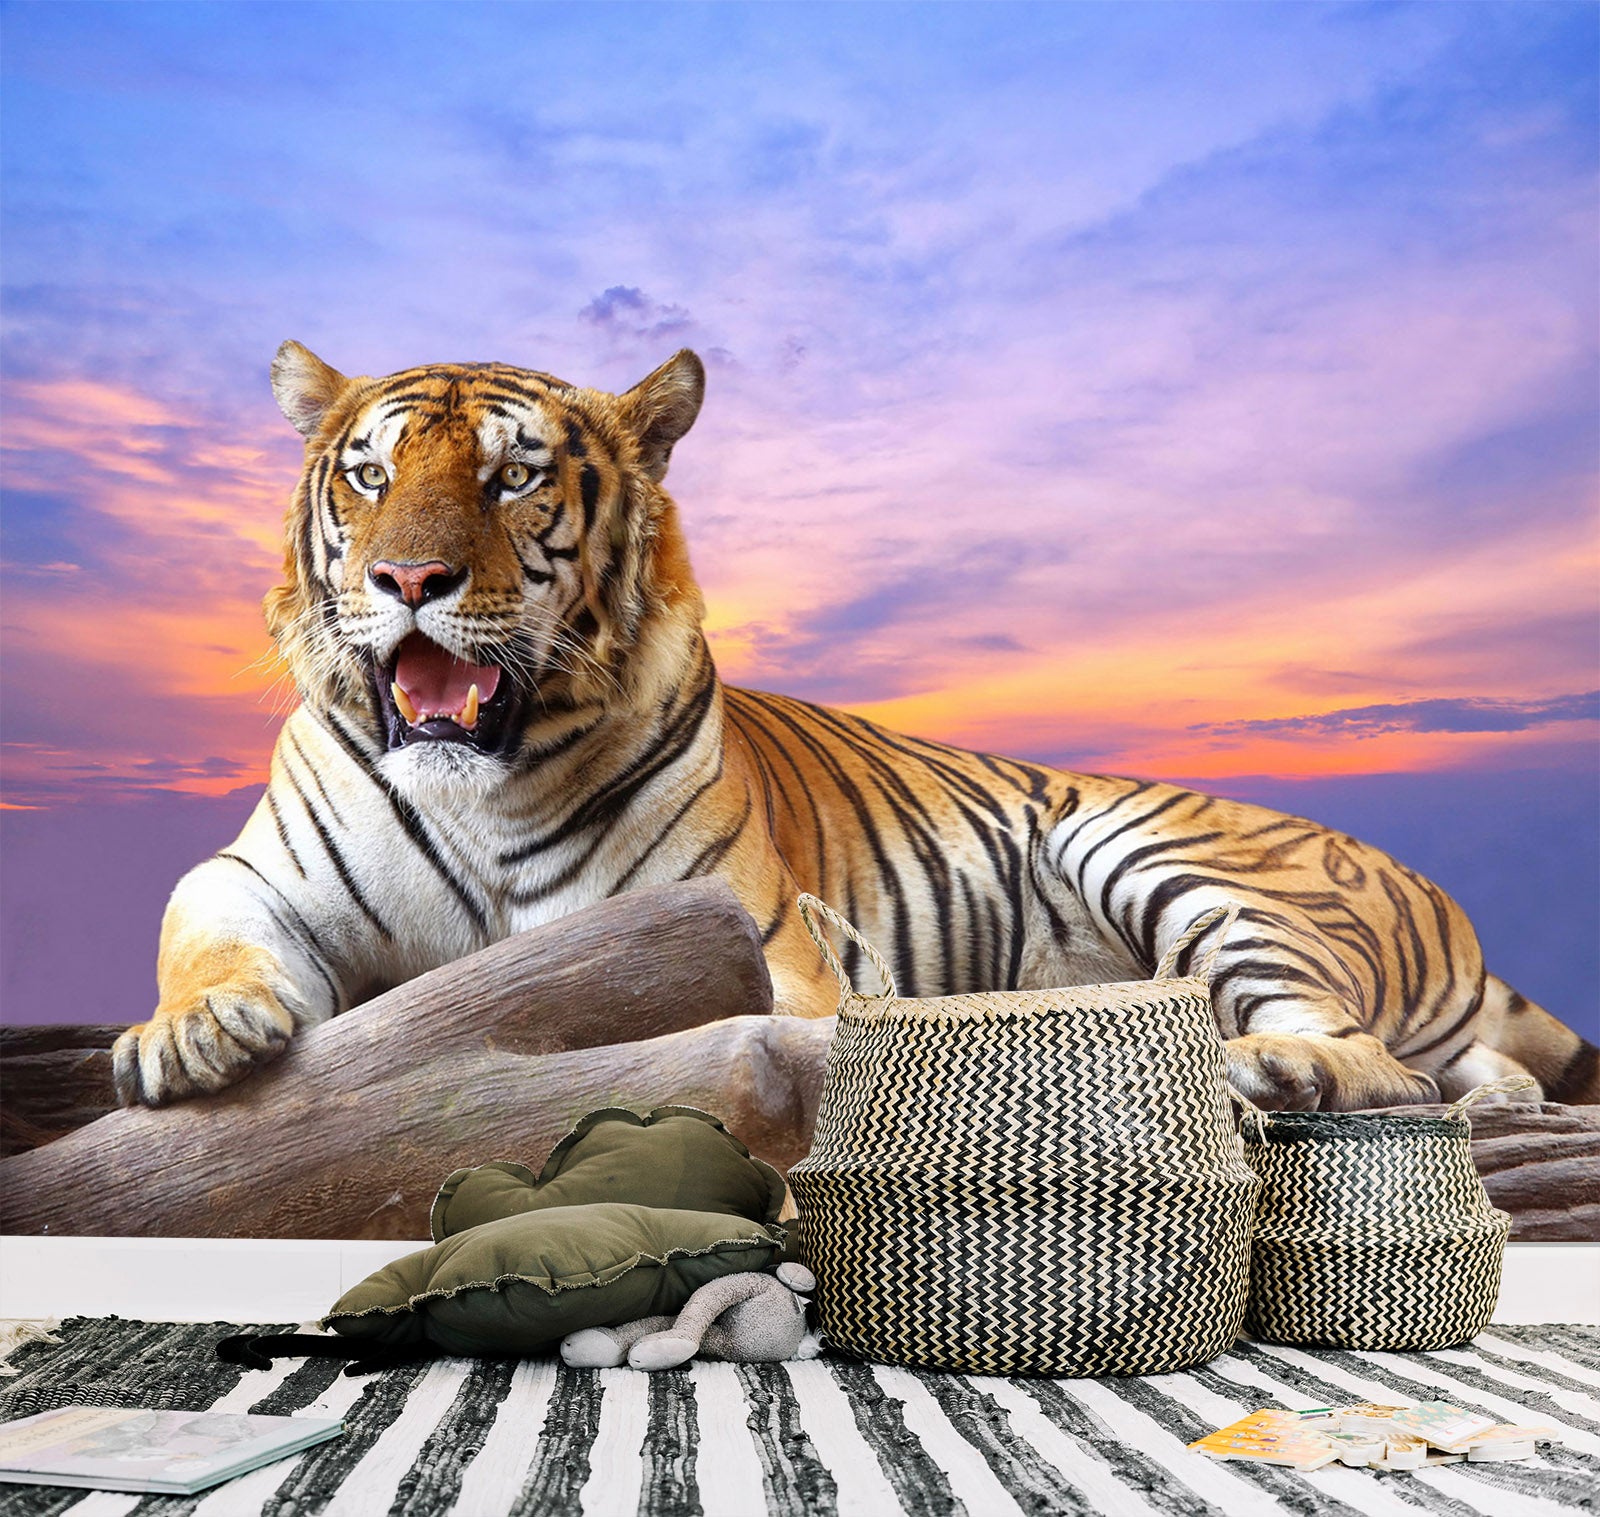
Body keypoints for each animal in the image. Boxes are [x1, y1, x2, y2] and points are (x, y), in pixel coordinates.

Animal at [112, 342, 1600, 1114]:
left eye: (514, 475)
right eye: (369, 477)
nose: (405, 579)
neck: (476, 781)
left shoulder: (752, 945)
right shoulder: (258, 870)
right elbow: (204, 926)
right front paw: (192, 1036)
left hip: (1167, 851)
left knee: (1366, 1055)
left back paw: (1272, 1067)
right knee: (1479, 1082)